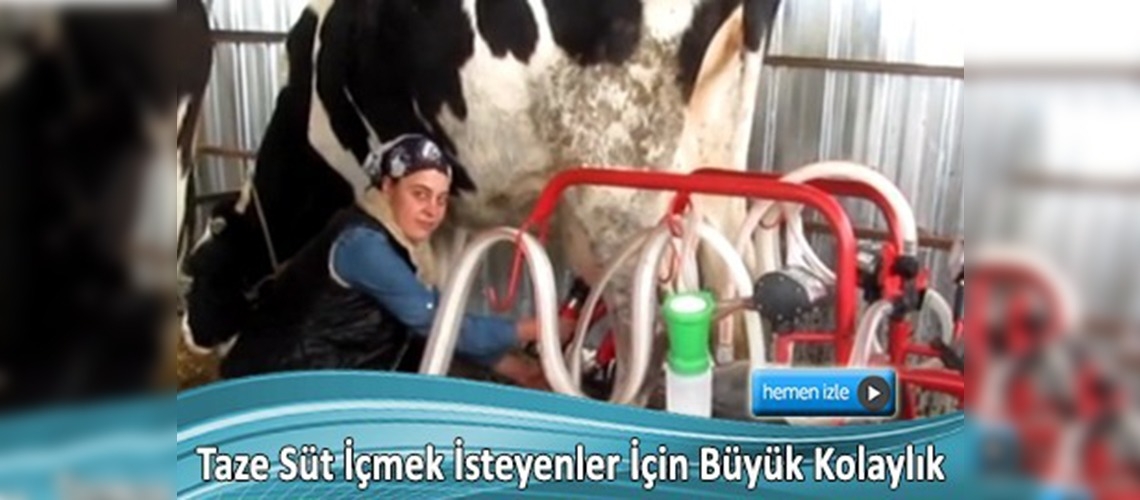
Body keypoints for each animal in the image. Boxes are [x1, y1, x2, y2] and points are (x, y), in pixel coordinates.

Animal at [181, 0, 782, 402]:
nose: (190, 334)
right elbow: (443, 291)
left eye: (197, 273)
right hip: (719, 155)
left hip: (620, 196)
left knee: (647, 335)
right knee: (730, 282)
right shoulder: (450, 210)